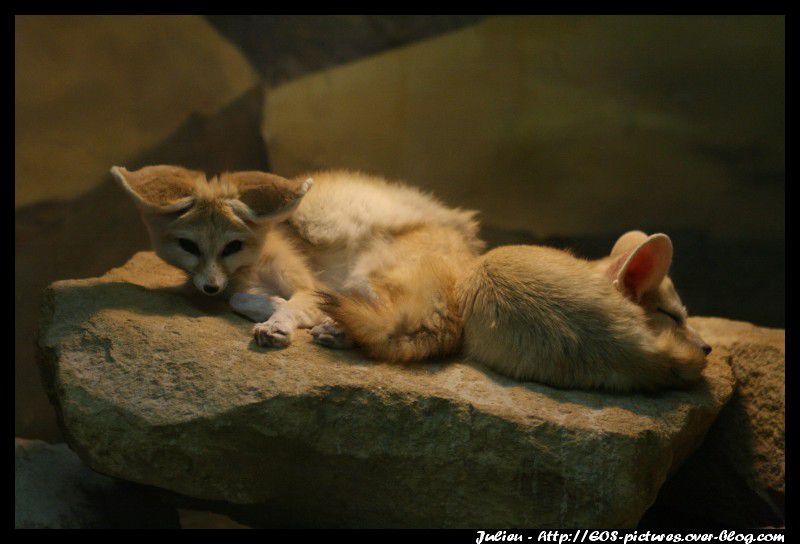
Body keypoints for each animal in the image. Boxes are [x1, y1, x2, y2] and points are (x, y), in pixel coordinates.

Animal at [111, 164, 482, 356]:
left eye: (232, 246)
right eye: (189, 246)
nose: (210, 288)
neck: (257, 258)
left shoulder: (309, 285)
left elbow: (297, 303)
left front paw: (279, 322)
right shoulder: (240, 285)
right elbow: (240, 298)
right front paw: (271, 306)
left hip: (366, 278)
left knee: (392, 321)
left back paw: (338, 328)